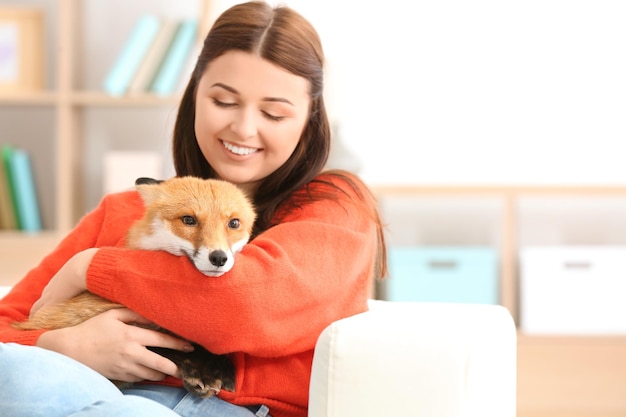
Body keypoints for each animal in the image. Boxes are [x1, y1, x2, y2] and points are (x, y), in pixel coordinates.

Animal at [12, 176, 256, 396]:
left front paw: (219, 366)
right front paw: (202, 371)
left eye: (234, 223)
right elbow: (166, 347)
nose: (219, 258)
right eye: (188, 220)